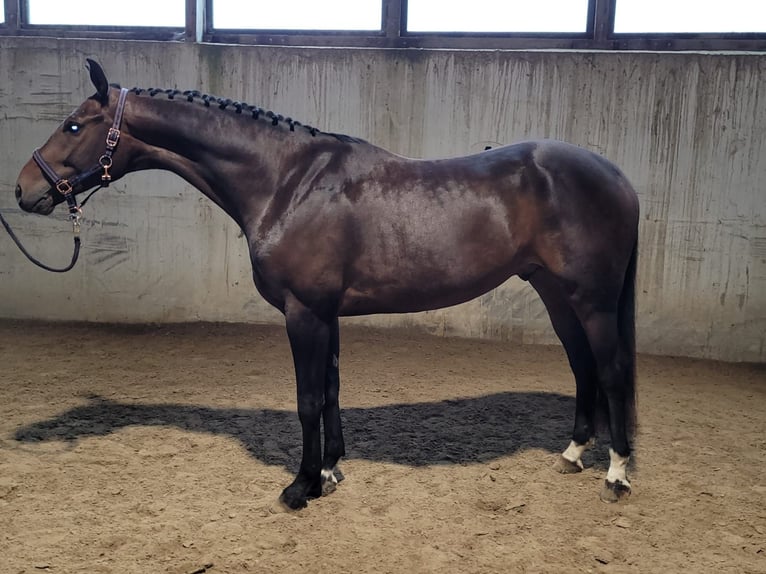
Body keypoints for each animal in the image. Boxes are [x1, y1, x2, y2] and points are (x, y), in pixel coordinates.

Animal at [13, 60, 640, 510]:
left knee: (610, 371)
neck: (286, 182)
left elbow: (309, 398)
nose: (23, 190)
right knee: (582, 366)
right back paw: (573, 454)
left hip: (591, 299)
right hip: (555, 294)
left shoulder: (305, 312)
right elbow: (333, 389)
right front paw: (330, 470)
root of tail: (616, 175)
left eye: (73, 125)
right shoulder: (326, 314)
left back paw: (616, 476)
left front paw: (300, 487)